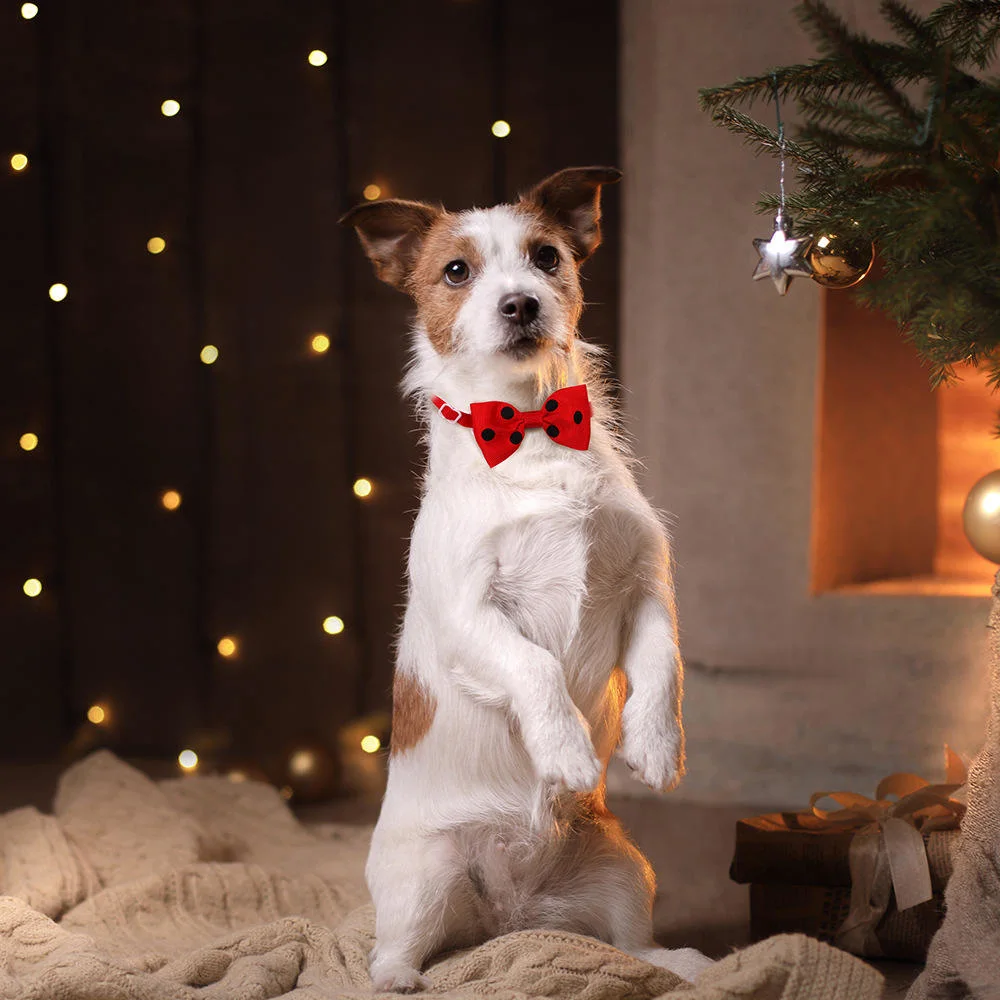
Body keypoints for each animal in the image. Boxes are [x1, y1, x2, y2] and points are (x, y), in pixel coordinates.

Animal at [344, 168, 712, 988]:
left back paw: (684, 962)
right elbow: (536, 667)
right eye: (456, 271)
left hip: (623, 868)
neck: (530, 428)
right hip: (424, 874)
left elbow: (662, 662)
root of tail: (509, 919)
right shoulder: (471, 616)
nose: (520, 302)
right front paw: (568, 750)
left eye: (546, 257)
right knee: (394, 944)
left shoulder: (645, 585)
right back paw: (399, 977)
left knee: (630, 945)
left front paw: (656, 745)